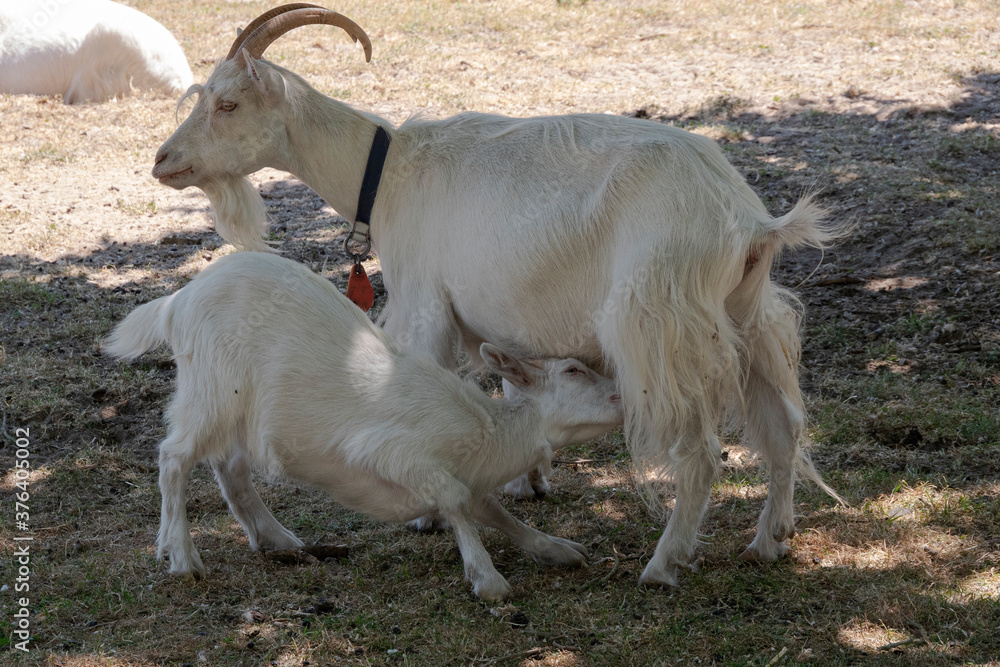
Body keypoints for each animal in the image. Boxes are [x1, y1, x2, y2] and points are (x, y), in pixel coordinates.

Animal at [103, 251, 624, 600]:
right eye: (573, 370)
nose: (624, 395)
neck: (487, 433)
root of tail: (178, 300)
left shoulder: (469, 478)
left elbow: (492, 510)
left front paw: (555, 549)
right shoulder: (390, 451)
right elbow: (457, 501)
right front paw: (488, 578)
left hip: (237, 407)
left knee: (229, 467)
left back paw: (277, 540)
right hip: (210, 387)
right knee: (174, 457)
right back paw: (182, 556)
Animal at [151, 5, 844, 587]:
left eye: (229, 104)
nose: (163, 161)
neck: (390, 172)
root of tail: (748, 220)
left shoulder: (425, 301)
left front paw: (430, 514)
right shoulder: (499, 319)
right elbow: (515, 383)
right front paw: (526, 482)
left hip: (658, 325)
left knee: (701, 449)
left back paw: (663, 562)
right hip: (745, 315)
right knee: (783, 422)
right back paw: (769, 540)